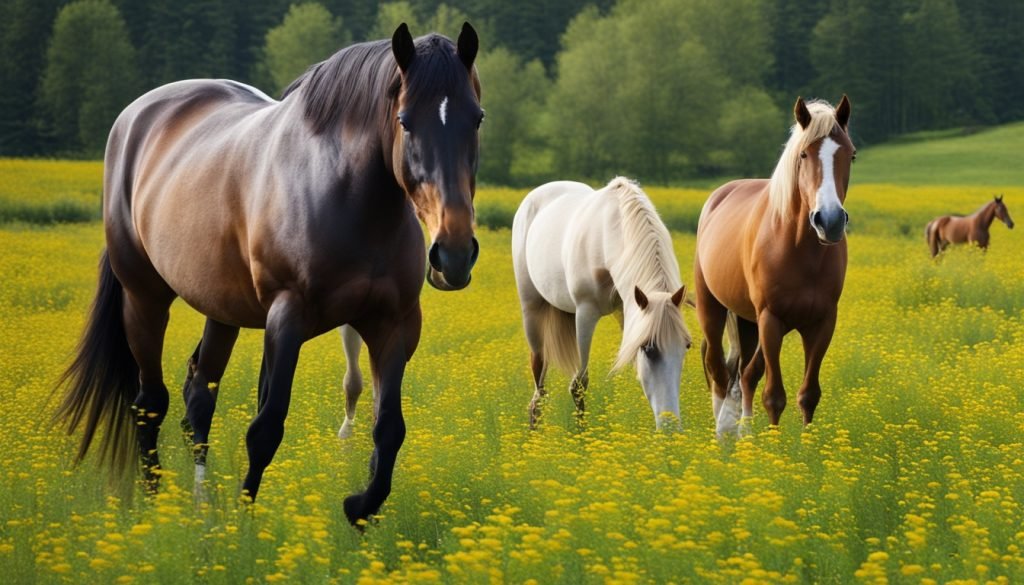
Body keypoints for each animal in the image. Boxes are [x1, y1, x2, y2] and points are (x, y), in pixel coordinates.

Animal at [54, 23, 483, 526]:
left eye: (476, 118)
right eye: (404, 121)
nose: (453, 253)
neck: (345, 194)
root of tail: (134, 118)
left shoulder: (393, 325)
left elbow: (389, 428)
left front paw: (360, 508)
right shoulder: (287, 317)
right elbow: (266, 426)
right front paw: (244, 522)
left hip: (221, 310)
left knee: (199, 397)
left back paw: (200, 504)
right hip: (144, 298)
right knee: (150, 404)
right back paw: (156, 504)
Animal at [512, 177, 693, 429]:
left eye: (687, 345)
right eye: (649, 349)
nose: (670, 427)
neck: (610, 236)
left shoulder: (629, 314)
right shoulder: (585, 313)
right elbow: (579, 384)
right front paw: (581, 436)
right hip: (531, 310)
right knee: (539, 384)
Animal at [694, 96, 854, 436]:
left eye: (851, 154)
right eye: (804, 153)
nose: (830, 221)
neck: (798, 248)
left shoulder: (822, 323)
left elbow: (808, 394)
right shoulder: (771, 320)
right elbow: (774, 395)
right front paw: (775, 447)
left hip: (746, 321)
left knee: (742, 374)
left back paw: (742, 432)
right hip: (712, 309)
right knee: (719, 371)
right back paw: (722, 433)